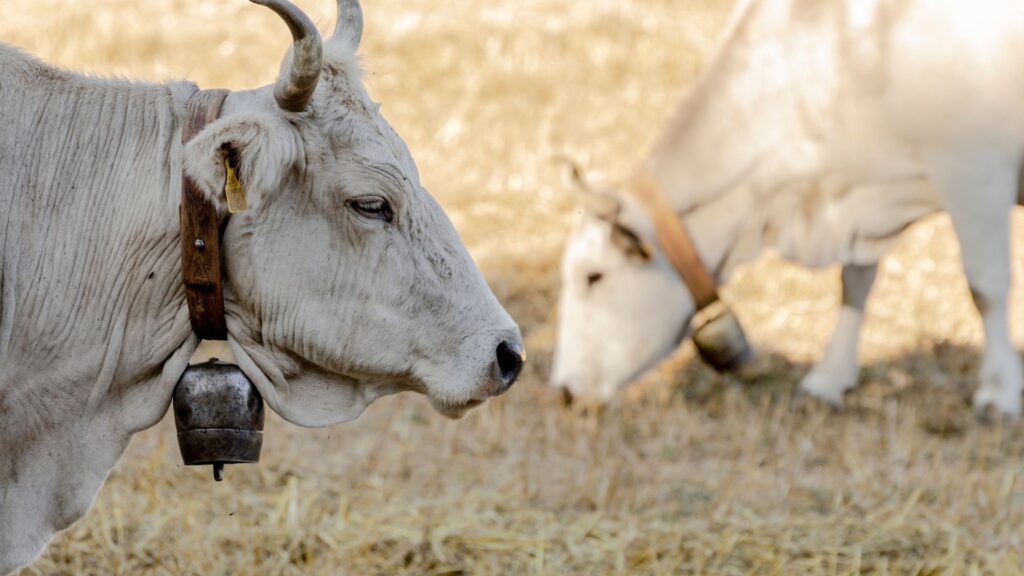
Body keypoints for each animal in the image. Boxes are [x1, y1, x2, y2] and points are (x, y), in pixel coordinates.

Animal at [552, 1, 1024, 412]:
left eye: (593, 276)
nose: (564, 390)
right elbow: (855, 283)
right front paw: (829, 378)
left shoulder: (975, 173)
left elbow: (985, 287)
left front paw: (1000, 390)